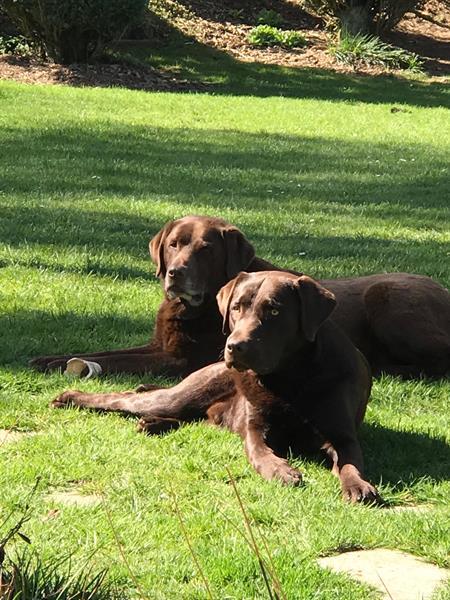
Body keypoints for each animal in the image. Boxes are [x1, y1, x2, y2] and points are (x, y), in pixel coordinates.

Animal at [32, 213, 450, 378]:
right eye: (173, 244)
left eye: (205, 250)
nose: (175, 273)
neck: (194, 308)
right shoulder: (159, 344)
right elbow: (102, 353)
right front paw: (48, 359)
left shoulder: (178, 359)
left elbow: (118, 361)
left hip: (388, 299)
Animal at [53, 272, 380, 502]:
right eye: (236, 307)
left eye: (275, 311)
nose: (234, 346)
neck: (288, 378)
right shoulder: (256, 428)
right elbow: (260, 454)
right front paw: (280, 470)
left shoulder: (342, 434)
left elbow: (351, 463)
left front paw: (359, 486)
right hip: (181, 394)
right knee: (124, 398)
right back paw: (71, 397)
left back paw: (153, 423)